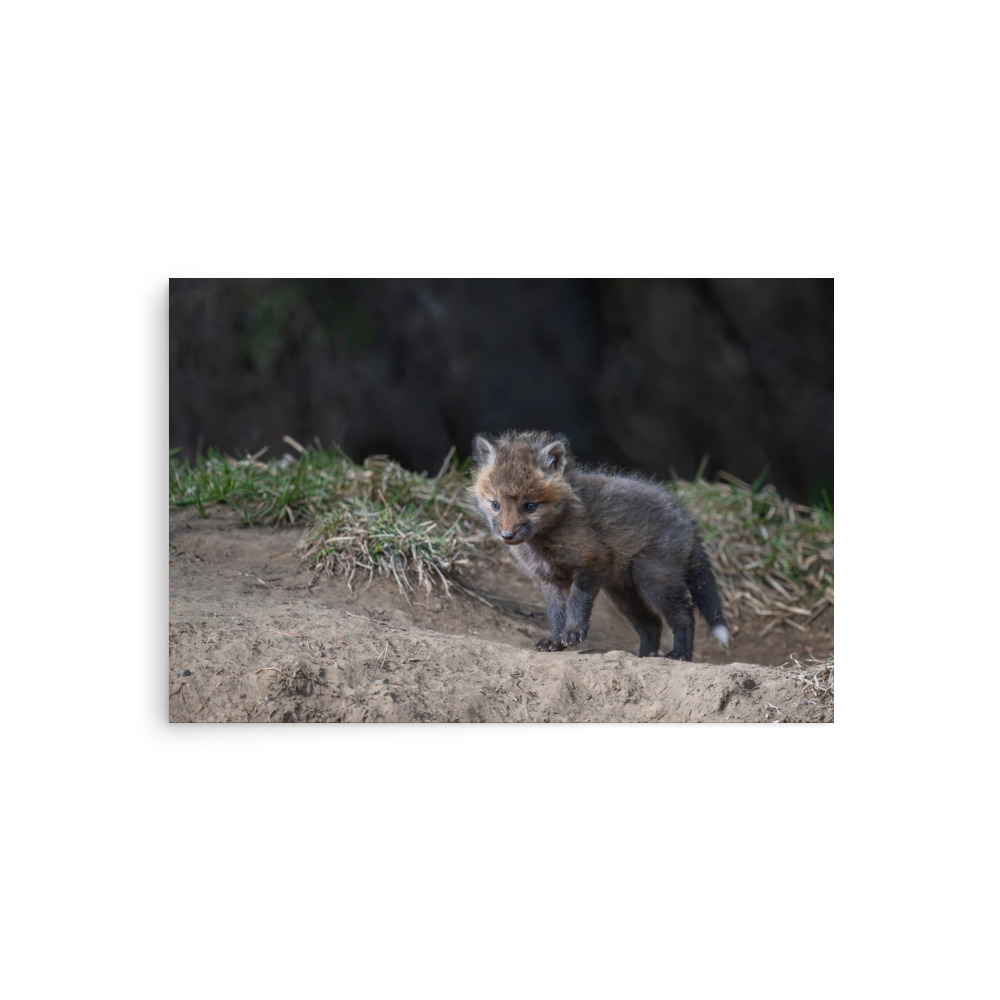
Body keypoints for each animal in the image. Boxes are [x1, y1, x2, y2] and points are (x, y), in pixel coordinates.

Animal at [470, 429, 730, 661]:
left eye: (530, 506)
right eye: (495, 505)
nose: (507, 535)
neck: (545, 542)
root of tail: (687, 518)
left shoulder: (593, 560)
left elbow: (576, 601)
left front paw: (573, 632)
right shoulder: (550, 577)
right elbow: (556, 613)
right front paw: (554, 641)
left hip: (653, 581)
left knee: (685, 615)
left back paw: (680, 654)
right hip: (623, 594)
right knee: (652, 624)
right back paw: (644, 656)